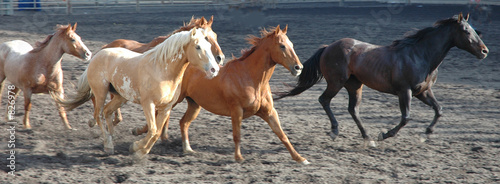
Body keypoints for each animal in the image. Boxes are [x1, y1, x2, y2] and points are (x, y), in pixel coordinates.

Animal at [53, 28, 221, 159]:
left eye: (208, 45)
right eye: (198, 46)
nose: (214, 69)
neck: (162, 70)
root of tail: (97, 55)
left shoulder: (166, 108)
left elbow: (157, 132)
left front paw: (139, 150)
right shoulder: (148, 104)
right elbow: (152, 130)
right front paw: (136, 148)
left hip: (120, 97)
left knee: (107, 111)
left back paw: (111, 138)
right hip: (101, 92)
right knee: (99, 115)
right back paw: (108, 145)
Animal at [132, 25, 308, 164]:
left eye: (291, 44)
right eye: (282, 46)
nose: (298, 68)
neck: (250, 78)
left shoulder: (269, 112)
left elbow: (282, 135)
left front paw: (300, 158)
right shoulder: (236, 110)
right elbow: (237, 135)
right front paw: (238, 158)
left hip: (194, 104)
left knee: (183, 122)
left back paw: (187, 149)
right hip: (174, 101)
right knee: (157, 118)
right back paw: (138, 136)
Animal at [274, 12, 488, 146]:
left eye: (475, 30)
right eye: (466, 31)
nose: (484, 51)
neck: (420, 55)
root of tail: (328, 47)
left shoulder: (423, 91)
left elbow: (439, 110)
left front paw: (426, 133)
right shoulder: (405, 91)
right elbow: (405, 117)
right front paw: (385, 134)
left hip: (355, 85)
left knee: (353, 109)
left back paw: (367, 137)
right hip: (336, 82)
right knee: (324, 100)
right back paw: (336, 131)